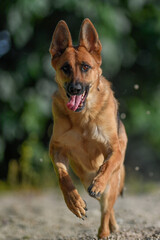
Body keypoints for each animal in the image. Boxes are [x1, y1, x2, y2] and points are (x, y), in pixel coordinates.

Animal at [48, 18, 127, 238]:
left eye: (85, 67)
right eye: (65, 68)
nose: (75, 89)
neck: (83, 118)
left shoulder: (113, 148)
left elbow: (107, 165)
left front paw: (99, 183)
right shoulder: (56, 148)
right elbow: (63, 177)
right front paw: (74, 203)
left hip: (112, 184)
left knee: (106, 209)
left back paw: (105, 232)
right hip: (84, 177)